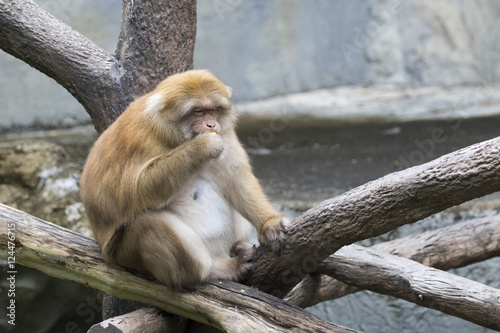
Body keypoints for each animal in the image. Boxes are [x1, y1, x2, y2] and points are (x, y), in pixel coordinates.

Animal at [80, 69, 288, 288]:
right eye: (198, 111)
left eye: (214, 109)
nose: (211, 124)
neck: (172, 135)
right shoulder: (138, 138)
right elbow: (133, 192)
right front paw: (201, 147)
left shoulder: (225, 132)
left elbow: (236, 177)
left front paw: (269, 224)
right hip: (124, 255)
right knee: (147, 224)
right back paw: (215, 270)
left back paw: (237, 247)